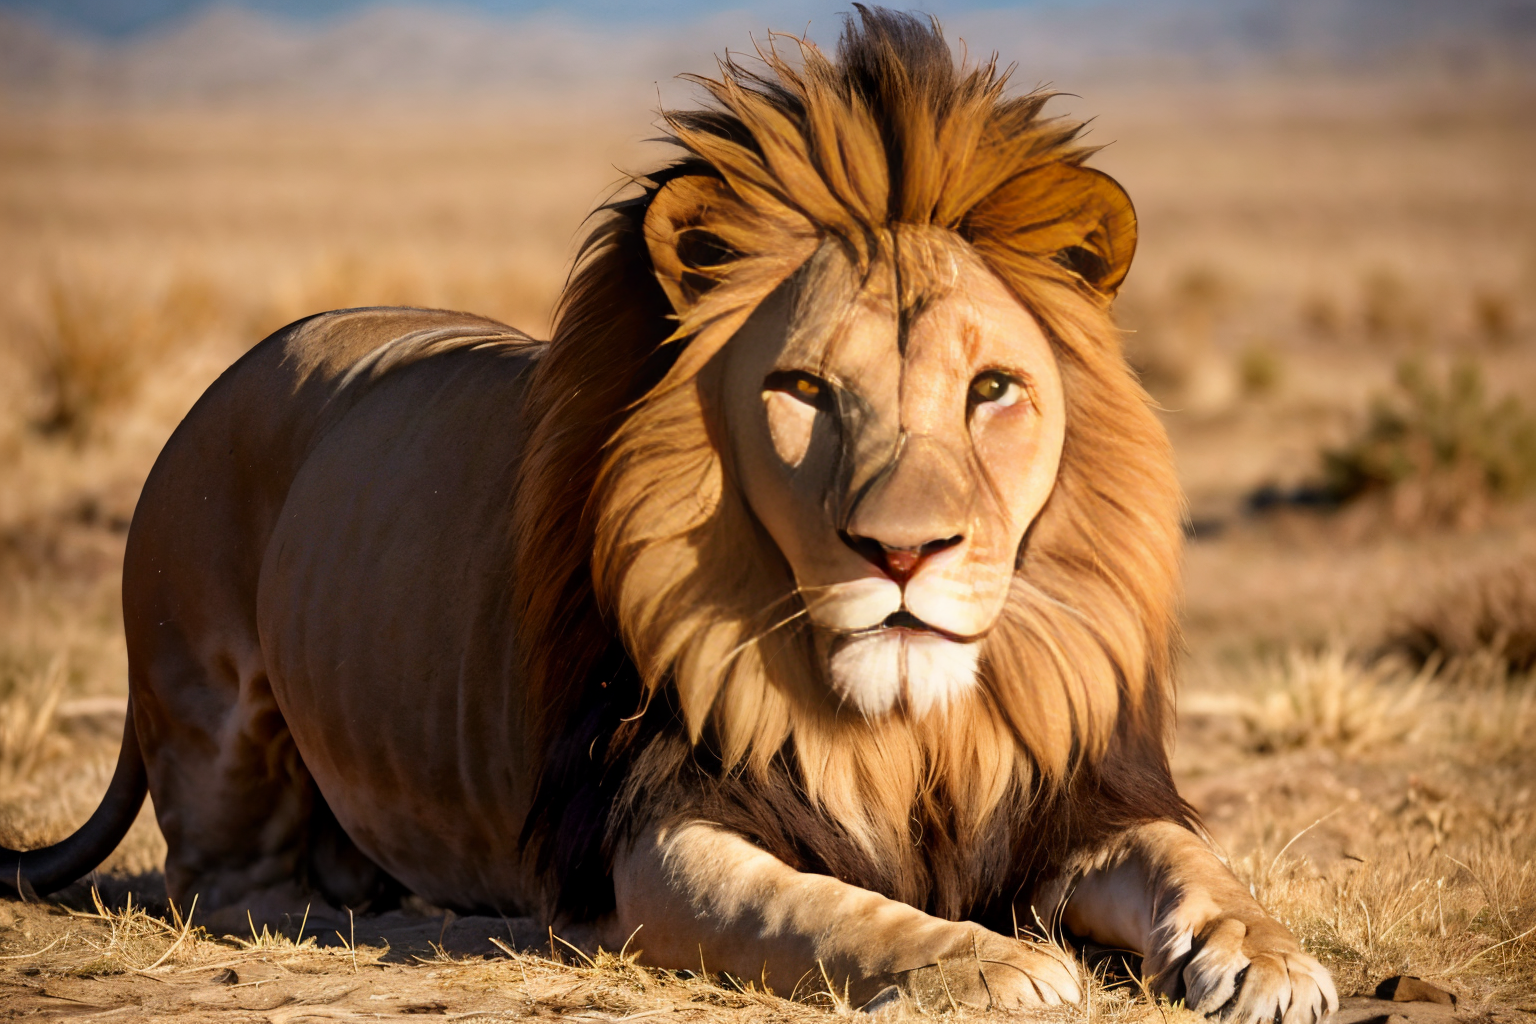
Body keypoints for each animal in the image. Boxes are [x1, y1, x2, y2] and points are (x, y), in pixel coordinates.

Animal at [4, 9, 1336, 1019]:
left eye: (992, 389)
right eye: (805, 390)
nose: (905, 551)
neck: (911, 729)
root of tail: (231, 372)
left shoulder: (1077, 796)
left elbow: (1194, 862)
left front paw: (1268, 957)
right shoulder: (649, 832)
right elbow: (818, 907)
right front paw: (990, 962)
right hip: (211, 698)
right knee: (224, 880)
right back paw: (385, 908)